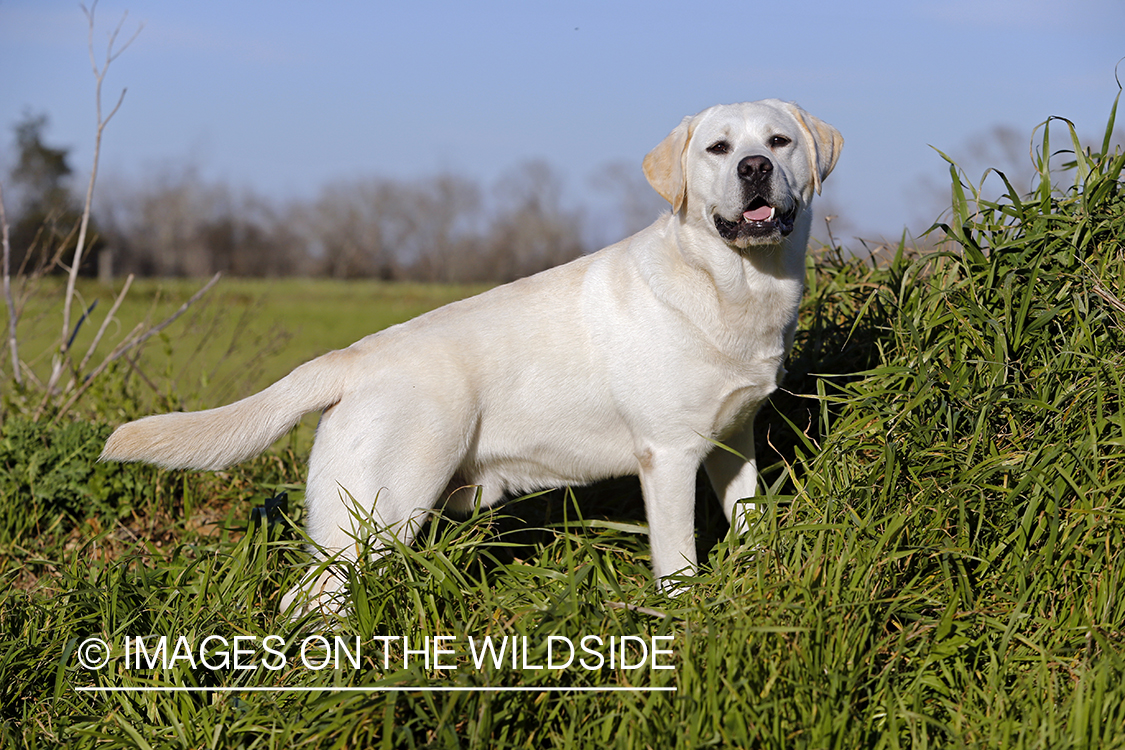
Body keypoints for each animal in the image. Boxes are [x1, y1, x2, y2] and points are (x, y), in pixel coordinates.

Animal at [105, 99, 841, 611]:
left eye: (777, 141)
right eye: (719, 148)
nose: (754, 168)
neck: (730, 286)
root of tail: (349, 357)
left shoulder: (731, 442)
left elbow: (748, 522)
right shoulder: (667, 455)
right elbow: (679, 562)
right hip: (382, 510)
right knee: (308, 601)